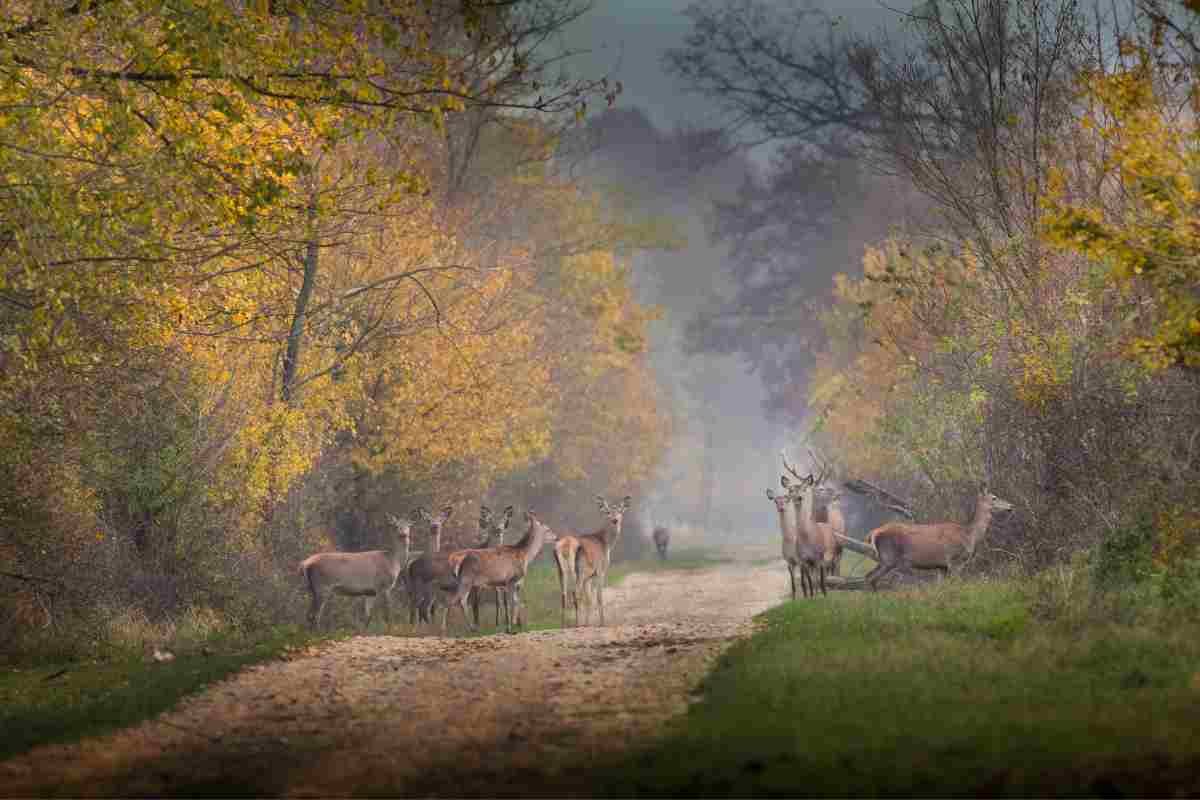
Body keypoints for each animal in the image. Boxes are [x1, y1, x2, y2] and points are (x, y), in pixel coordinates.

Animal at [568, 494, 628, 623]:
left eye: (620, 511)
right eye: (608, 512)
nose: (615, 520)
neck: (606, 543)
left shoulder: (589, 576)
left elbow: (589, 599)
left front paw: (587, 623)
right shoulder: (600, 570)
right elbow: (599, 596)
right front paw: (602, 622)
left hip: (571, 571)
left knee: (575, 593)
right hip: (582, 569)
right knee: (577, 592)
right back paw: (577, 623)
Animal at [835, 484, 1022, 592]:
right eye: (994, 497)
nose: (1011, 506)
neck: (969, 535)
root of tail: (874, 532)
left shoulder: (942, 566)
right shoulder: (955, 561)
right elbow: (957, 586)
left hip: (884, 558)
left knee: (868, 577)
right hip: (889, 557)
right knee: (870, 577)